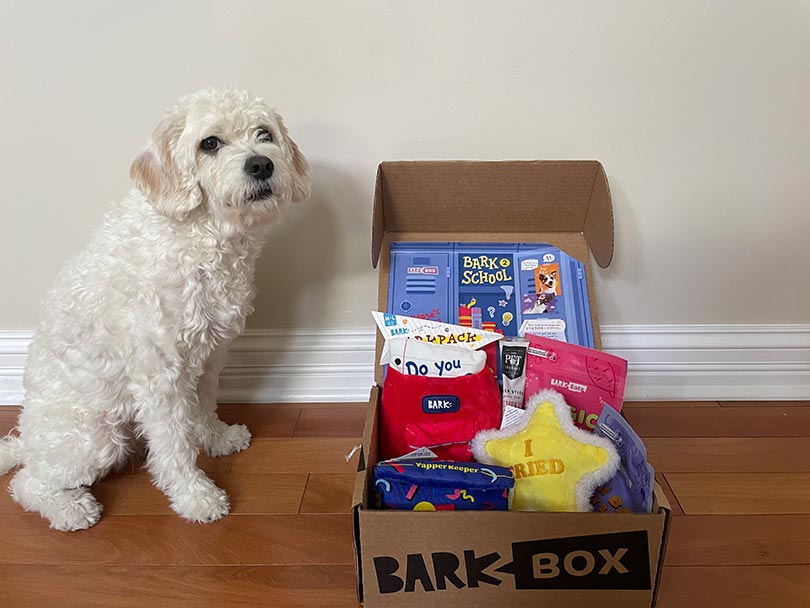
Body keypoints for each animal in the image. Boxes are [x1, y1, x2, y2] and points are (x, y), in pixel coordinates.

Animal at [0, 88, 310, 528]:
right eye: (209, 143)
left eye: (264, 133)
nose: (261, 164)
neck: (199, 235)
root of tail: (26, 440)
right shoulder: (159, 375)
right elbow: (174, 445)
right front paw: (196, 497)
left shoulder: (209, 356)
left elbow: (203, 407)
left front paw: (217, 438)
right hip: (95, 436)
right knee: (27, 482)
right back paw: (69, 509)